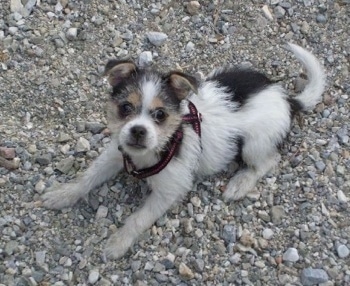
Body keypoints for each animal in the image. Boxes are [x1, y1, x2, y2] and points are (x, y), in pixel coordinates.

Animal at [41, 42, 326, 260]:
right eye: (125, 107)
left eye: (160, 114)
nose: (138, 131)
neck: (155, 149)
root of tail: (286, 98)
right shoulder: (115, 155)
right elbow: (87, 177)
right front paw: (62, 194)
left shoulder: (170, 190)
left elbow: (138, 218)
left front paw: (118, 243)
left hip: (254, 144)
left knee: (269, 160)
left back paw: (240, 183)